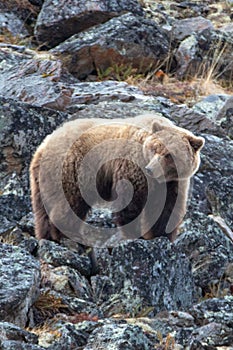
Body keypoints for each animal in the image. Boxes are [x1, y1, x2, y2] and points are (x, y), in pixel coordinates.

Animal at [30, 115, 205, 246]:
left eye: (169, 154)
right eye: (154, 148)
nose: (150, 169)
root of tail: (45, 143)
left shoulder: (174, 183)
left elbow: (167, 209)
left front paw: (161, 235)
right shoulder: (133, 168)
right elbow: (130, 202)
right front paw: (134, 235)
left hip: (42, 179)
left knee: (42, 210)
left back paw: (47, 236)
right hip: (72, 169)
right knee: (70, 203)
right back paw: (67, 235)